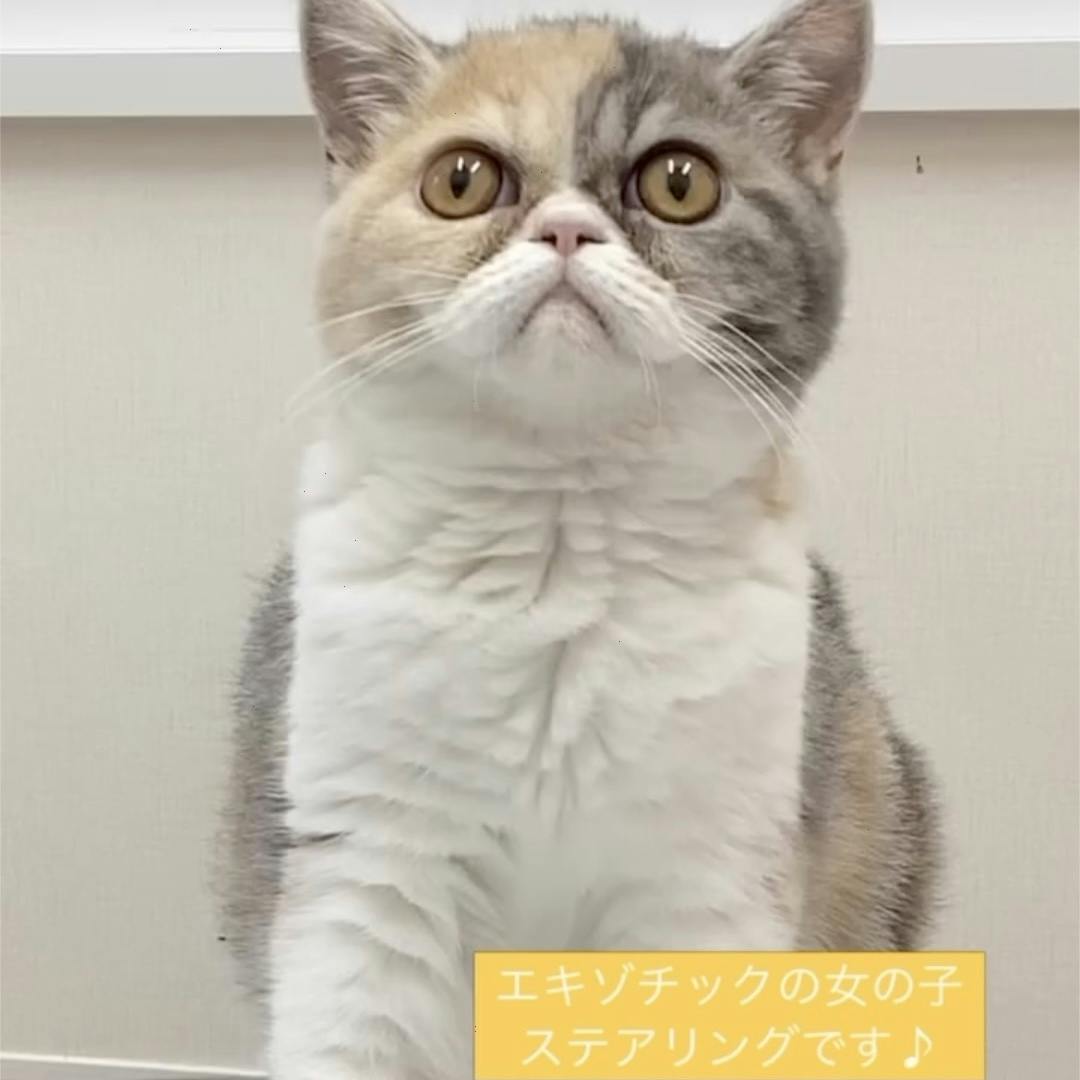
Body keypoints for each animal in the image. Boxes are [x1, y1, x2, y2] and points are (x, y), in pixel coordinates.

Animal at [219, 0, 941, 1076]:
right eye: (461, 179)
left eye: (680, 182)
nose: (566, 228)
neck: (556, 543)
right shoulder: (368, 875)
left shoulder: (708, 879)